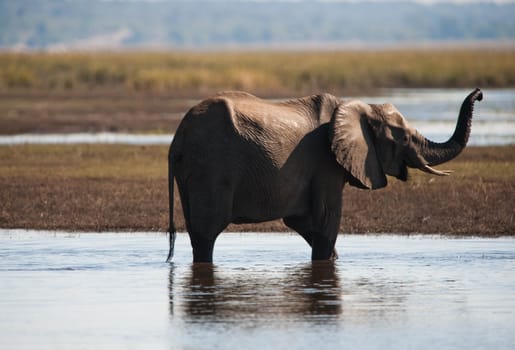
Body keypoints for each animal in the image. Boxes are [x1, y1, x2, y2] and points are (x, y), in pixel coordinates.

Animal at [166, 88, 484, 262]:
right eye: (403, 139)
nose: (479, 94)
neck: (358, 107)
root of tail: (178, 138)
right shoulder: (325, 163)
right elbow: (325, 220)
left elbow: (303, 222)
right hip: (211, 167)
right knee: (207, 232)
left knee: (196, 231)